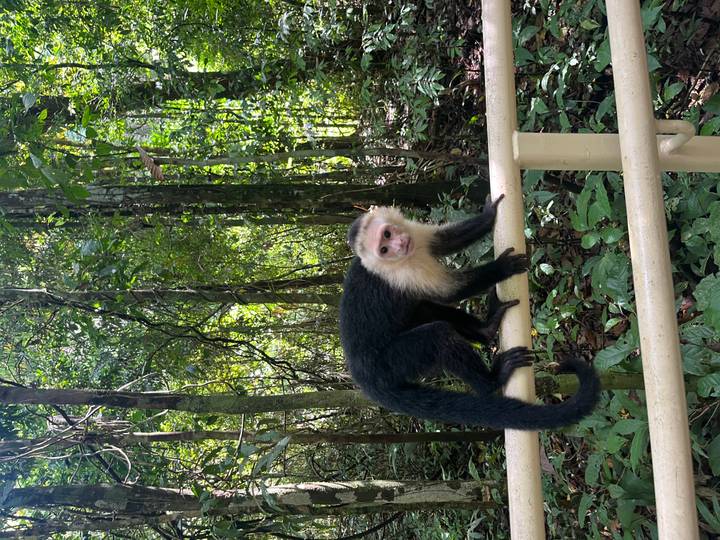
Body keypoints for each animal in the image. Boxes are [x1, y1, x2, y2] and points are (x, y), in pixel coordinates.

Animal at [339, 196, 600, 430]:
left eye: (387, 234)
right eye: (384, 249)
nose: (399, 246)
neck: (400, 260)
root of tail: (363, 379)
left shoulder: (415, 235)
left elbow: (446, 240)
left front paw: (487, 215)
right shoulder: (404, 273)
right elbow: (452, 292)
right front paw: (501, 268)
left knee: (426, 308)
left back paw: (486, 329)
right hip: (387, 364)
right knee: (438, 336)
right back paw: (492, 380)